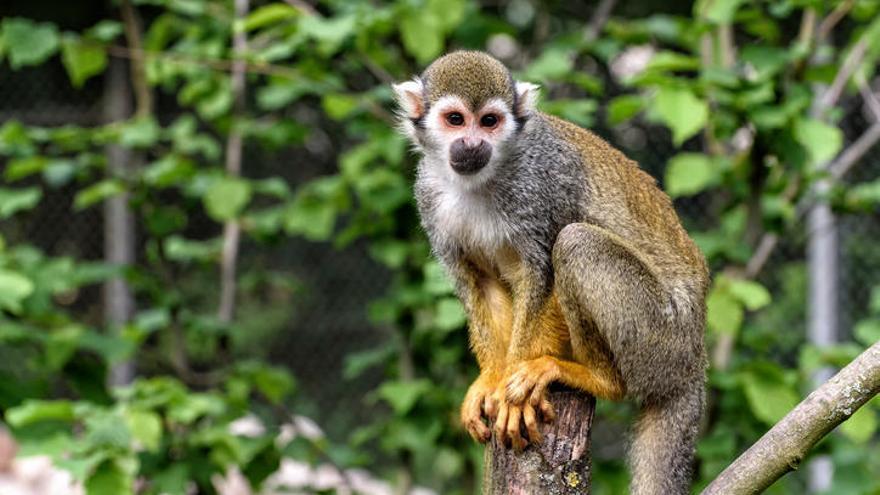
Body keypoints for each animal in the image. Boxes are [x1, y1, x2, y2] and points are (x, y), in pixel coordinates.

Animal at [392, 51, 708, 495]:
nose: (472, 144)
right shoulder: (428, 198)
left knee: (576, 242)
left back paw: (594, 377)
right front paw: (492, 380)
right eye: (455, 119)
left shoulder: (542, 187)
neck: (482, 179)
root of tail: (696, 356)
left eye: (489, 121)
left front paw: (515, 391)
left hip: (663, 337)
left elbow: (542, 273)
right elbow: (479, 284)